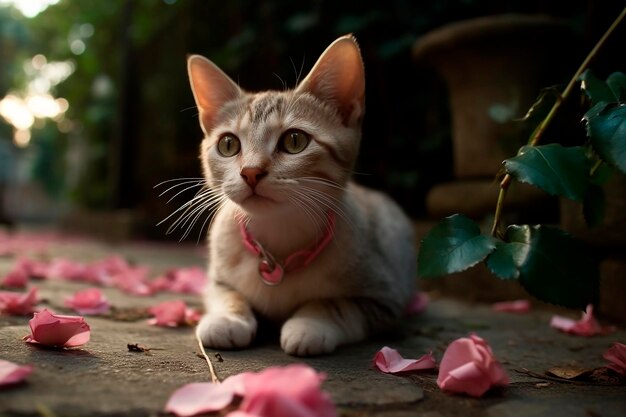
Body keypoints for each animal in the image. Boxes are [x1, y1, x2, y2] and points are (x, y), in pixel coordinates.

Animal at [188, 34, 416, 356]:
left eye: (294, 141)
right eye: (228, 144)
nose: (251, 172)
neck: (280, 238)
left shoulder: (385, 296)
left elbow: (336, 304)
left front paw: (310, 324)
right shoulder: (216, 277)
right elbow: (225, 293)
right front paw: (228, 317)